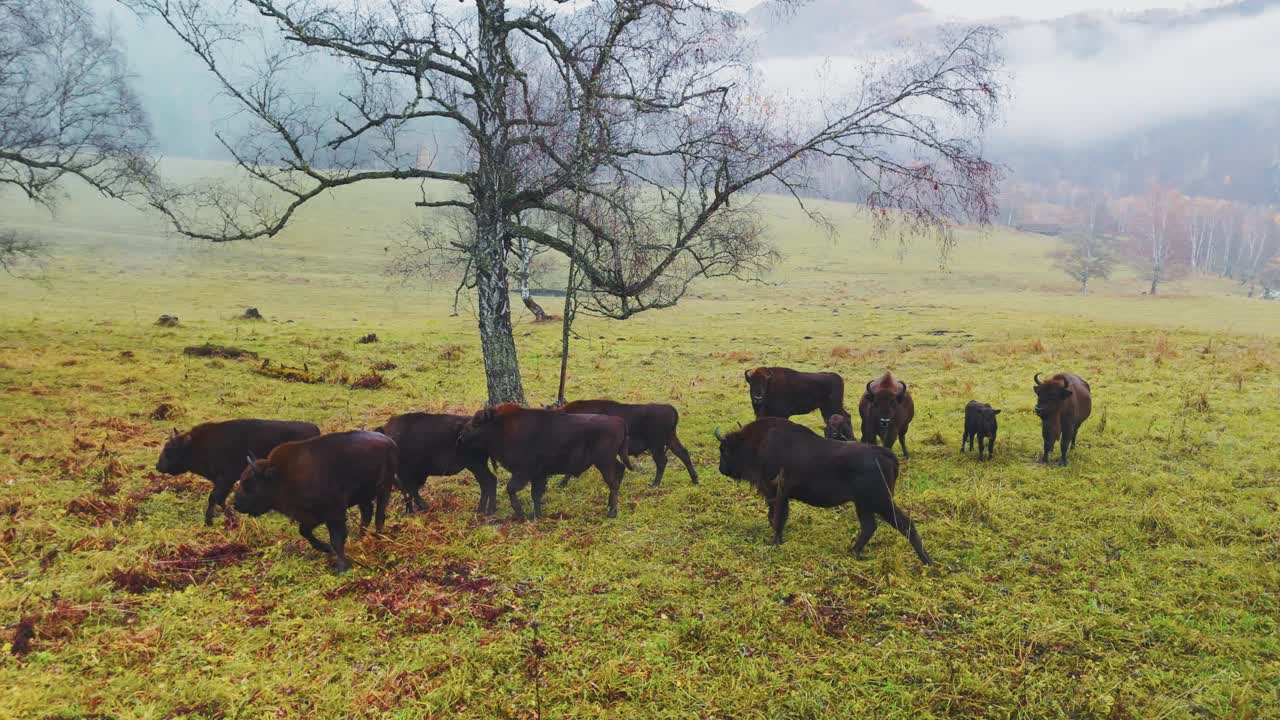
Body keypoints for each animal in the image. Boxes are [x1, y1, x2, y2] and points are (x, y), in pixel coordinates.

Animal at [155, 419, 321, 526]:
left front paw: (210, 521)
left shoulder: (225, 479)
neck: (195, 445)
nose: (158, 466)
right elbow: (219, 499)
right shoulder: (222, 482)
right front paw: (230, 518)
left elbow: (214, 498)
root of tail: (315, 429)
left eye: (169, 450)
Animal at [233, 430, 398, 573]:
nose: (236, 504)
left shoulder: (334, 514)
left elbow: (337, 539)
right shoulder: (312, 516)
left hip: (384, 489)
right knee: (367, 513)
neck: (279, 476)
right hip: (363, 496)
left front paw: (341, 567)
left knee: (379, 516)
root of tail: (389, 442)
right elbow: (305, 532)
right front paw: (327, 549)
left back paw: (378, 540)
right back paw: (361, 539)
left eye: (249, 483)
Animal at [458, 404, 630, 520]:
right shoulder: (538, 475)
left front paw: (521, 513)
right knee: (619, 471)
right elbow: (536, 494)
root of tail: (619, 421)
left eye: (477, 422)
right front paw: (537, 515)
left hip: (604, 463)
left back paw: (611, 512)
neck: (502, 427)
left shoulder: (523, 472)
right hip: (609, 461)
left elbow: (512, 489)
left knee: (613, 482)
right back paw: (610, 506)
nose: (460, 437)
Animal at [557, 399, 697, 487]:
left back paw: (654, 485)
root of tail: (669, 407)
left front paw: (561, 483)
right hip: (670, 440)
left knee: (662, 461)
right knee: (683, 454)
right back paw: (695, 480)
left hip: (656, 445)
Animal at [715, 418, 931, 564]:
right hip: (863, 504)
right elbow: (775, 517)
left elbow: (777, 518)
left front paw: (775, 543)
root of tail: (884, 453)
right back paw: (852, 552)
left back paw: (926, 561)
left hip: (880, 501)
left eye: (724, 450)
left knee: (904, 524)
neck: (757, 442)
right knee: (869, 527)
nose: (721, 469)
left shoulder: (778, 493)